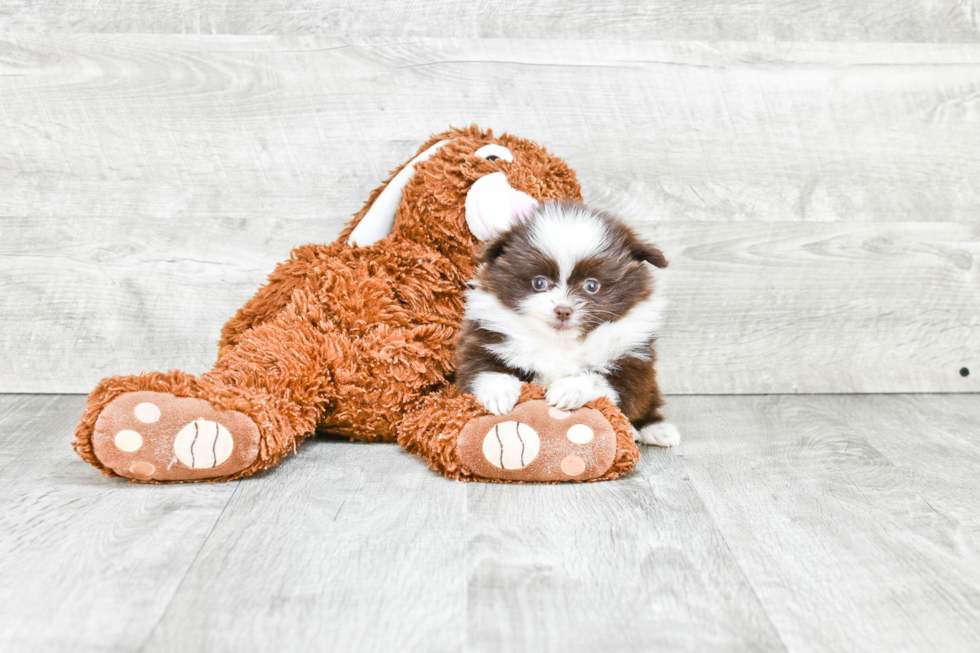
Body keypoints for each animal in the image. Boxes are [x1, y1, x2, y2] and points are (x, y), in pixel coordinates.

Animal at [454, 201, 676, 446]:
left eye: (592, 285)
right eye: (539, 282)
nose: (563, 310)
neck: (560, 342)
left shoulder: (633, 362)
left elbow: (606, 382)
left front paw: (569, 389)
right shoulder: (485, 338)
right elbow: (484, 370)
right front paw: (498, 394)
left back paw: (655, 429)